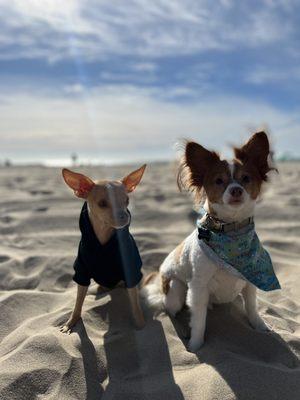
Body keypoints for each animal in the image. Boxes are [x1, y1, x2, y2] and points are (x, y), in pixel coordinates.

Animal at [142, 131, 280, 350]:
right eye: (219, 181)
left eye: (246, 179)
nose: (236, 190)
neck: (232, 233)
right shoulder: (198, 288)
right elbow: (198, 320)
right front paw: (195, 345)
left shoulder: (250, 282)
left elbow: (252, 307)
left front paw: (259, 326)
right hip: (175, 290)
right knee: (170, 309)